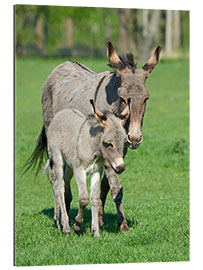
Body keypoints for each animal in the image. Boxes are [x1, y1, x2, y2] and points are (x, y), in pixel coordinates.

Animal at [44, 99, 128, 236]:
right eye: (108, 144)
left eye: (125, 142)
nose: (120, 168)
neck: (93, 147)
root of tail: (63, 112)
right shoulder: (79, 170)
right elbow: (83, 199)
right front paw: (77, 226)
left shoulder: (97, 171)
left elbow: (95, 199)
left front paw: (95, 232)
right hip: (57, 158)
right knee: (59, 187)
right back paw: (66, 228)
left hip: (69, 167)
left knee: (65, 184)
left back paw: (60, 222)